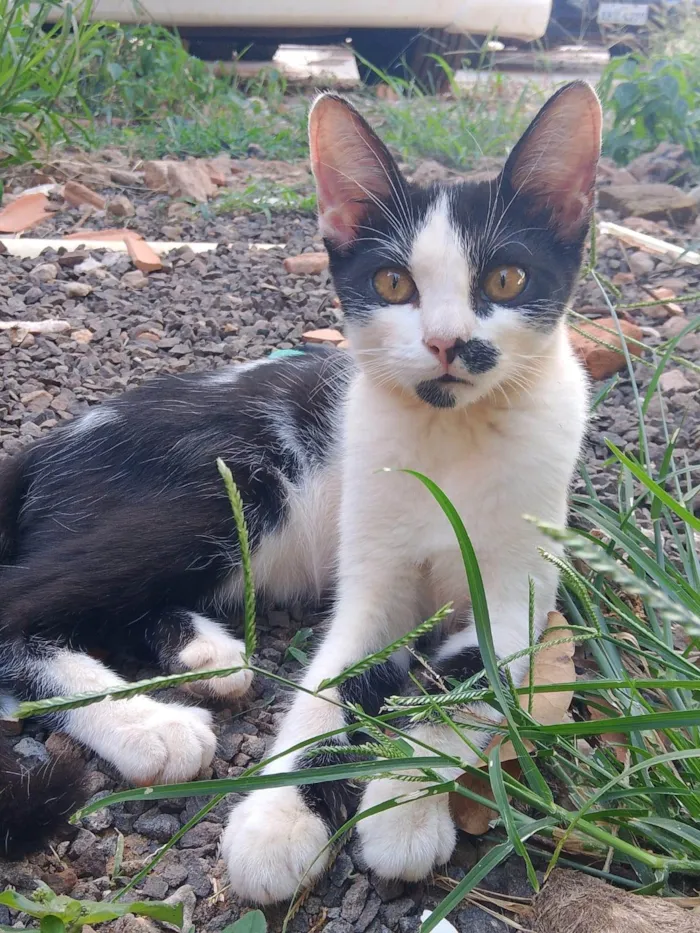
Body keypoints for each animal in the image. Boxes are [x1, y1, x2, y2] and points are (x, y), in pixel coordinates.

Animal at [1, 76, 600, 892]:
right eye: (392, 282)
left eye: (506, 278)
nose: (447, 342)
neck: (452, 439)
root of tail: (50, 442)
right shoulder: (372, 584)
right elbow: (328, 687)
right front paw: (279, 816)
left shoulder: (519, 598)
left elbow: (464, 682)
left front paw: (402, 803)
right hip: (224, 485)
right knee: (20, 603)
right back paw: (148, 723)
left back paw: (203, 656)